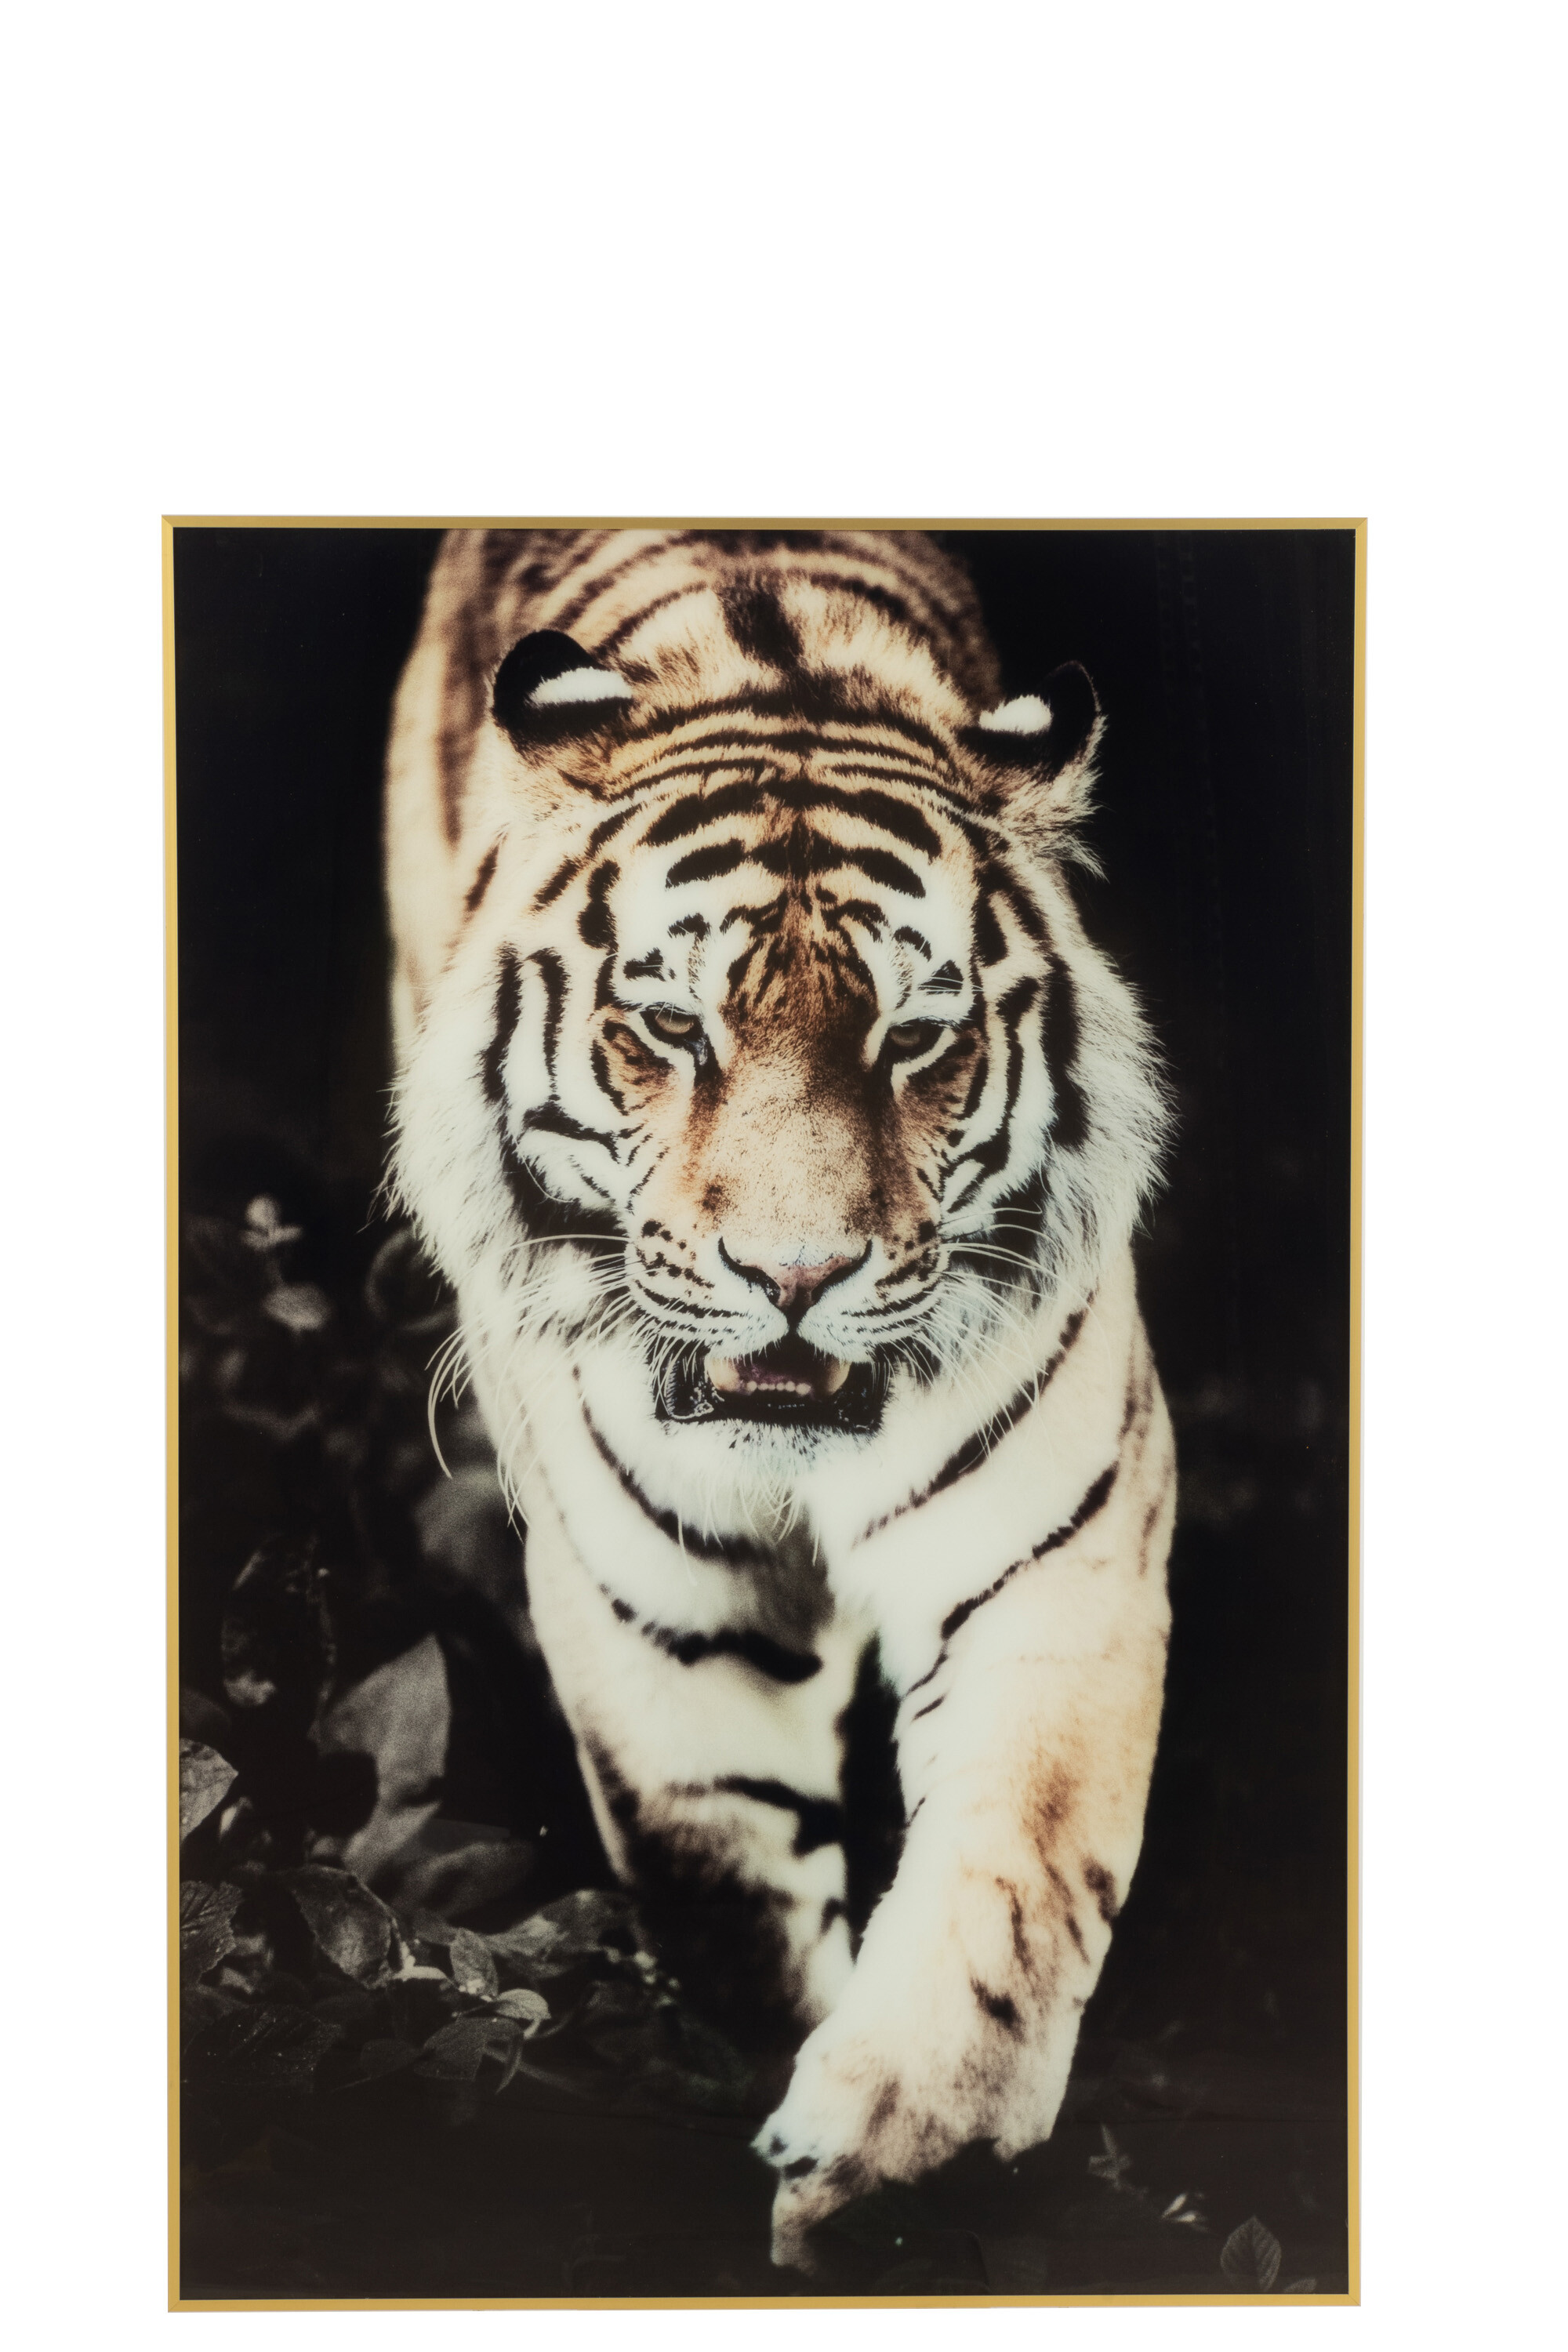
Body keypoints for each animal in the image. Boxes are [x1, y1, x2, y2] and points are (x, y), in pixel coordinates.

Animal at [385, 527, 1177, 2270]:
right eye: (670, 1028)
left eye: (919, 1038)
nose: (795, 1275)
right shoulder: (662, 1621)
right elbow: (730, 1907)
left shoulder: (1056, 1562)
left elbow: (1012, 1876)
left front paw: (901, 2158)